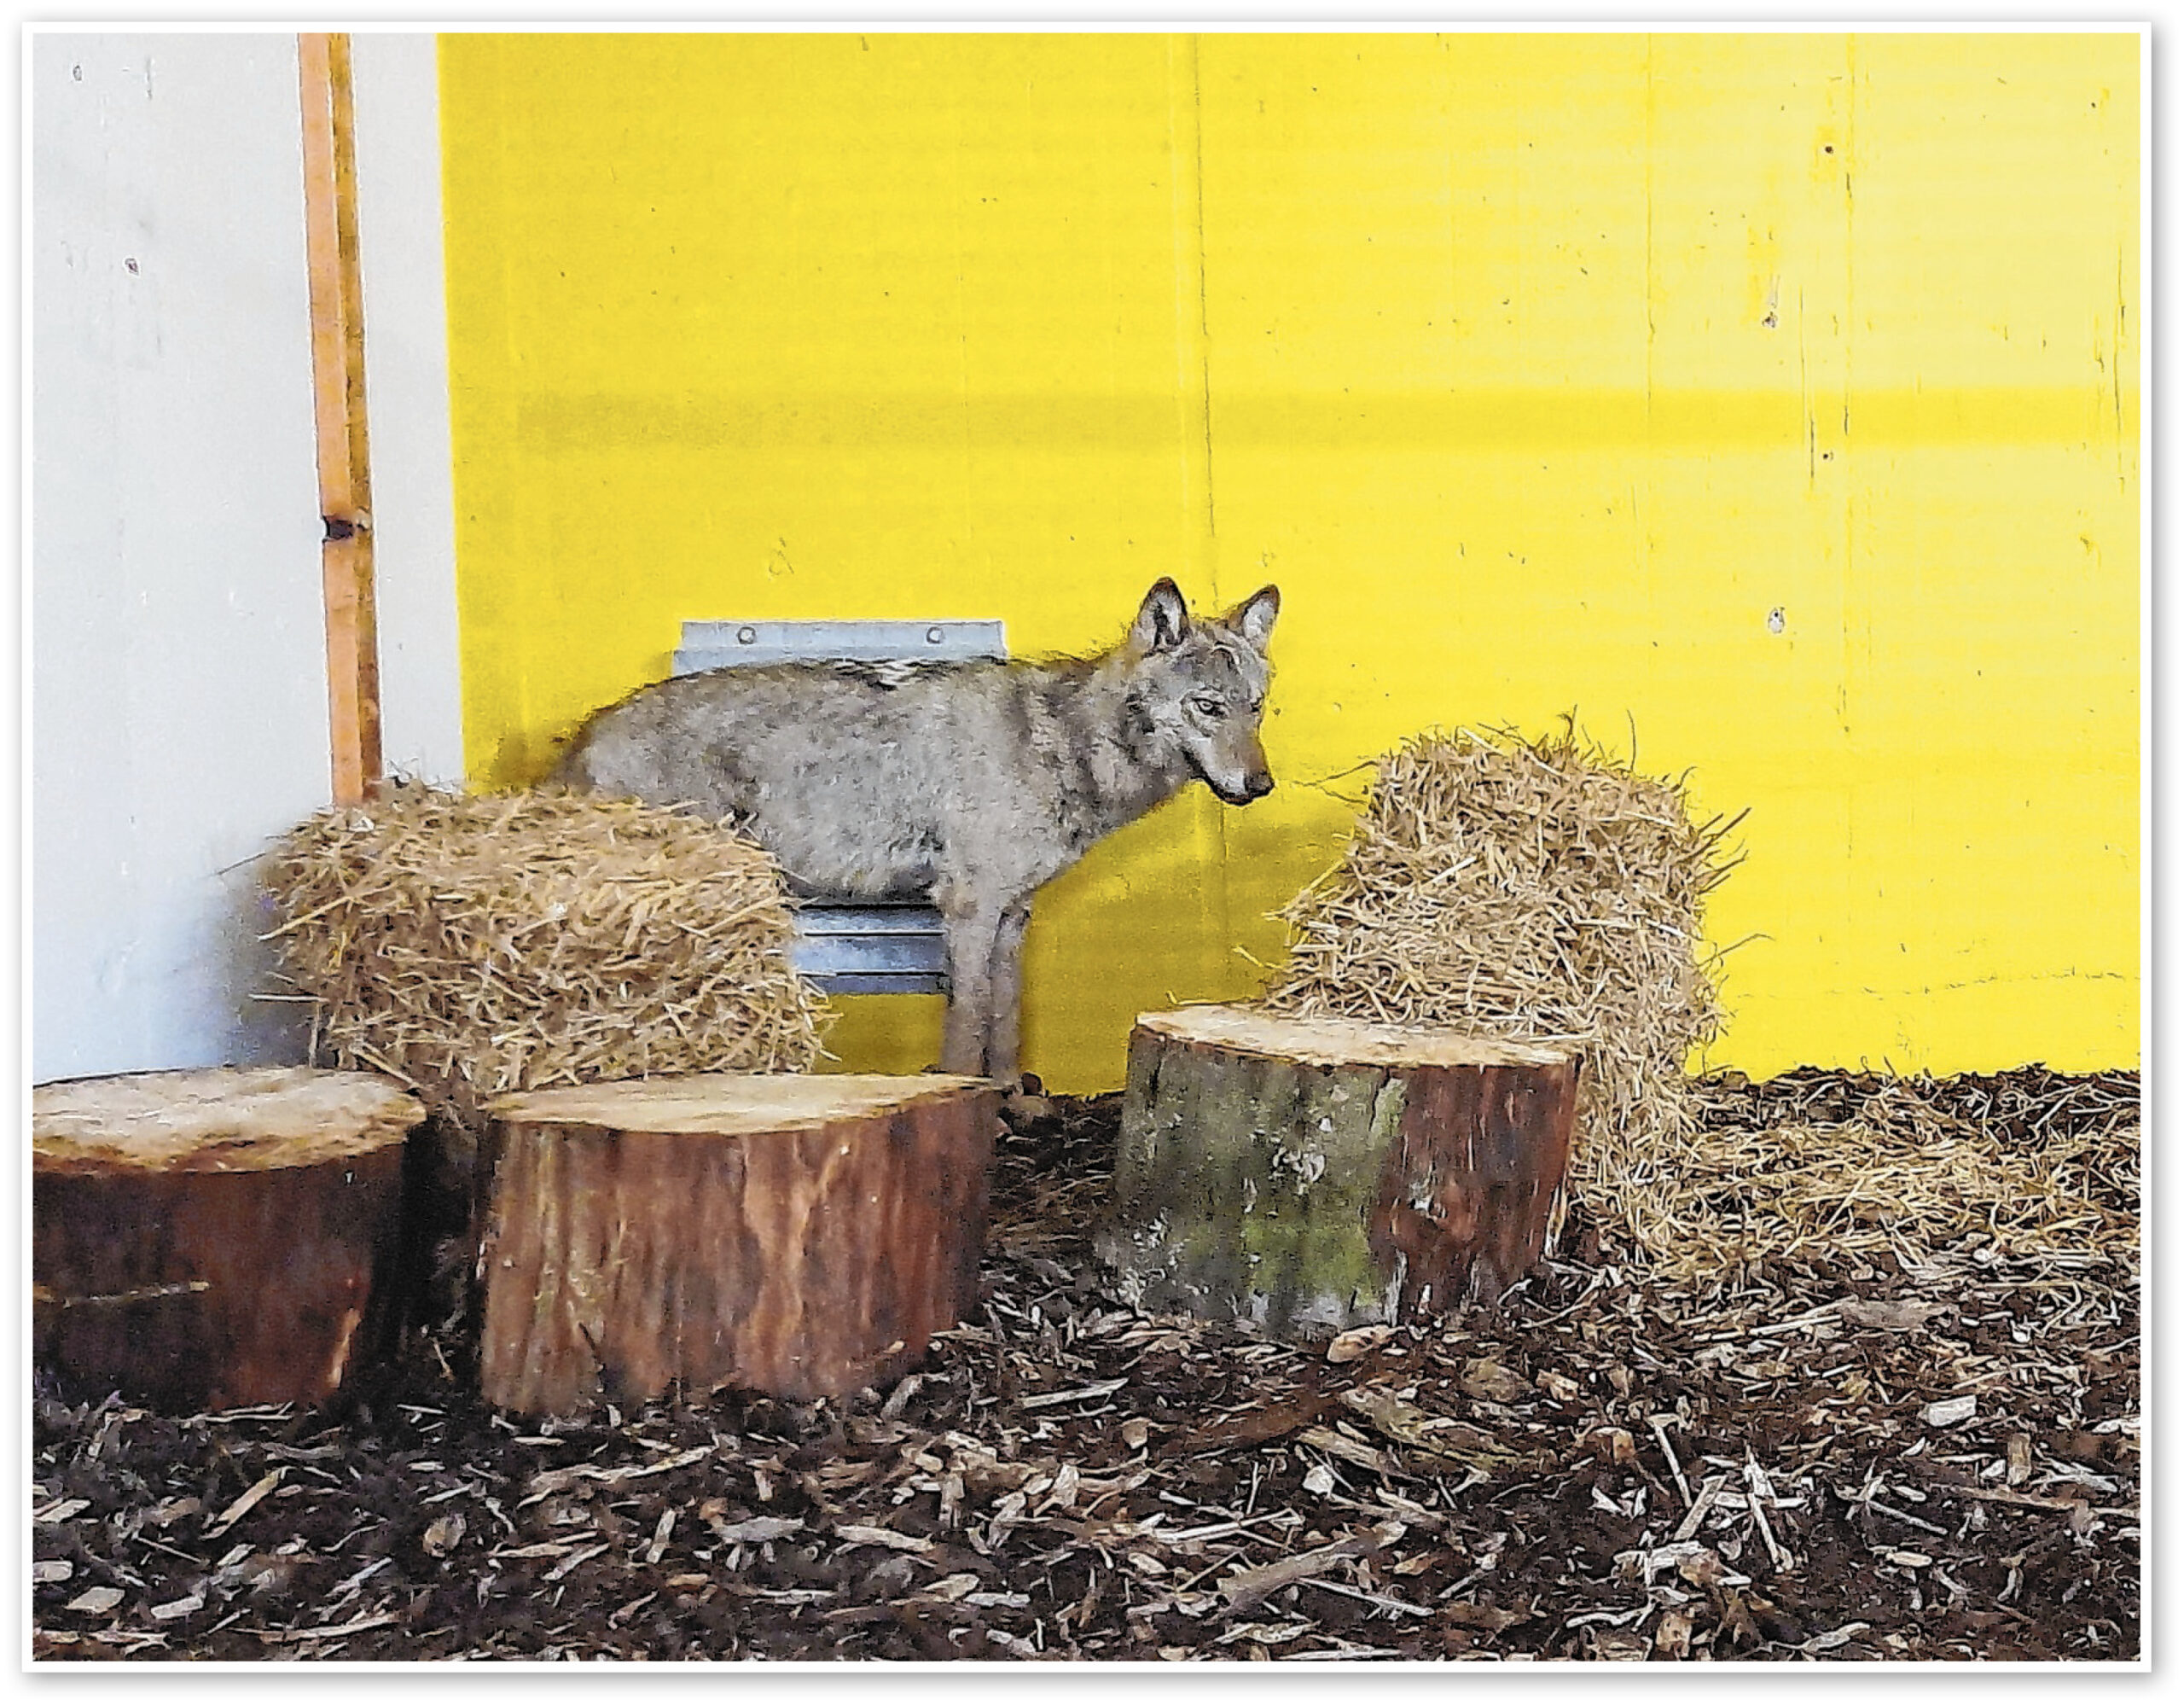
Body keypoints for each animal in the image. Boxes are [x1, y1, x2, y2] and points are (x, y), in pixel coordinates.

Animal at [553, 578, 1280, 1084]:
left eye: (1256, 709)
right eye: (1207, 707)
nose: (1261, 784)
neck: (1061, 745)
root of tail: (584, 734)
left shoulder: (1013, 914)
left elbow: (1005, 1020)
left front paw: (1018, 1101)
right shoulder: (966, 907)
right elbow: (967, 1024)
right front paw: (966, 1104)